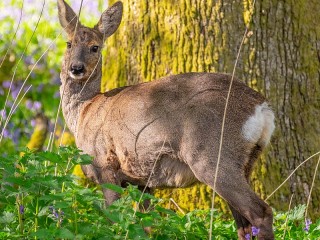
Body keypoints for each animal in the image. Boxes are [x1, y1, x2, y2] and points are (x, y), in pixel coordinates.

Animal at [57, 0, 276, 239]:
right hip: (245, 162)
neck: (85, 111)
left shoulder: (105, 162)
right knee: (244, 225)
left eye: (95, 47)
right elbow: (146, 226)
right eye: (69, 43)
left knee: (261, 212)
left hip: (212, 156)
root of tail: (262, 108)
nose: (76, 68)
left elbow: (112, 219)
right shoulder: (141, 181)